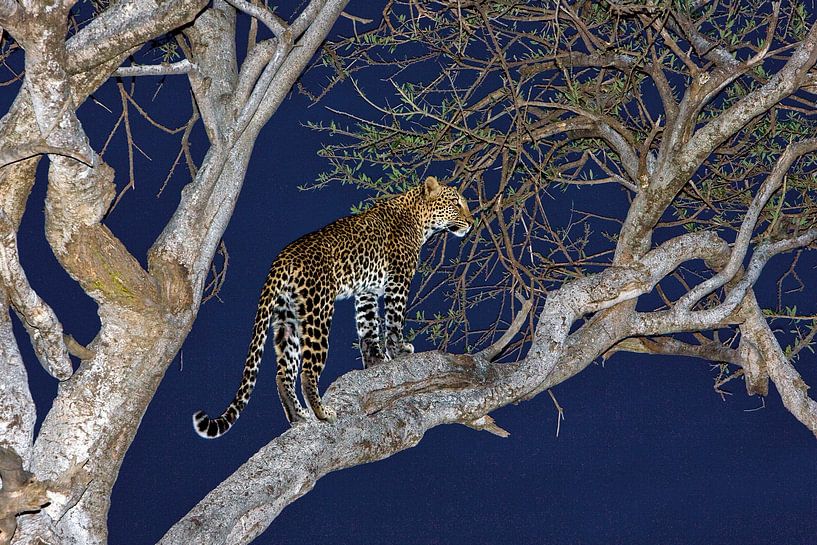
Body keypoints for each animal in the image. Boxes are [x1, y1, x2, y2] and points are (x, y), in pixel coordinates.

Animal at [193, 176, 473, 438]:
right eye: (455, 203)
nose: (471, 223)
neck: (419, 219)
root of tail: (283, 258)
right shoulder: (398, 281)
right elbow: (394, 320)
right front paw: (398, 352)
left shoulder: (366, 291)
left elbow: (368, 328)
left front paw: (375, 361)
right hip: (318, 313)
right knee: (307, 371)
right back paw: (322, 412)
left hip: (286, 318)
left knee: (283, 372)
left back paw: (299, 415)